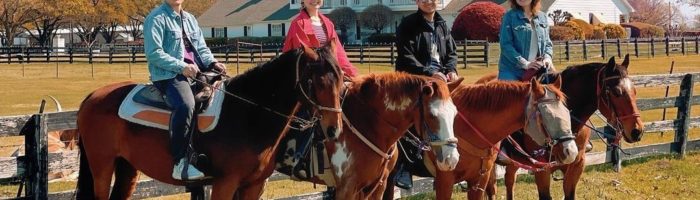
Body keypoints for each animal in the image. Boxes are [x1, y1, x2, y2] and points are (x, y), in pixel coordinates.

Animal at [78, 46, 346, 199]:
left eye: (341, 78)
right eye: (315, 82)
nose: (334, 128)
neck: (248, 114)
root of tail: (92, 97)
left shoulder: (254, 185)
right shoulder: (225, 183)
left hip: (127, 168)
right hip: (102, 167)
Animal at [276, 72, 462, 199]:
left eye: (455, 113)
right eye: (432, 115)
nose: (451, 159)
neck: (368, 123)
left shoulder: (378, 185)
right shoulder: (347, 188)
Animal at [482, 55, 644, 200]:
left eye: (635, 91)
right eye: (616, 92)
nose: (637, 131)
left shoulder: (577, 165)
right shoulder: (542, 168)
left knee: (509, 181)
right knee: (491, 189)